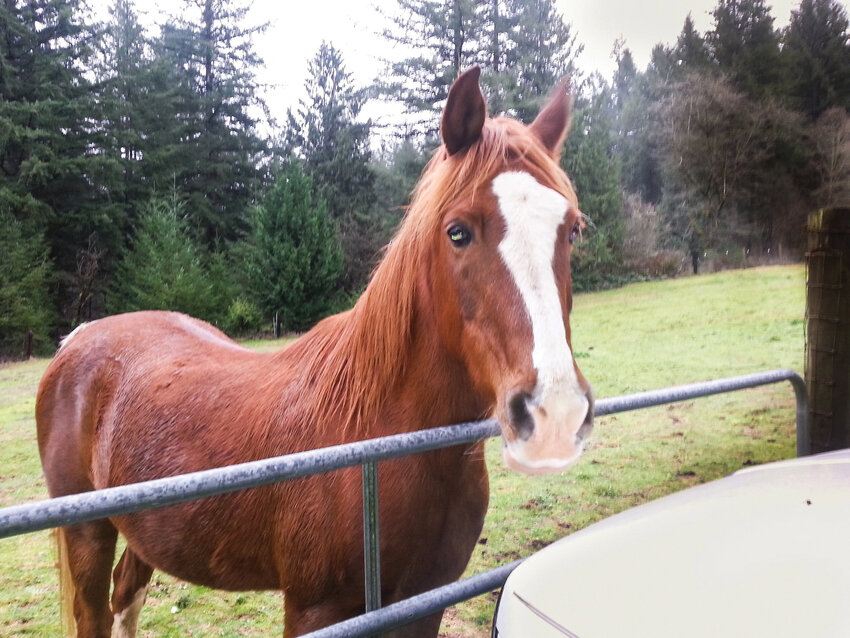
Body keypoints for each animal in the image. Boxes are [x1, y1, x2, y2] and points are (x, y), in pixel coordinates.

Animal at [35, 66, 593, 638]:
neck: (379, 434)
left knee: (128, 594)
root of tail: (78, 338)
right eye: (457, 232)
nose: (554, 414)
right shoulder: (316, 611)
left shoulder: (426, 602)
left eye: (573, 229)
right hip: (88, 535)